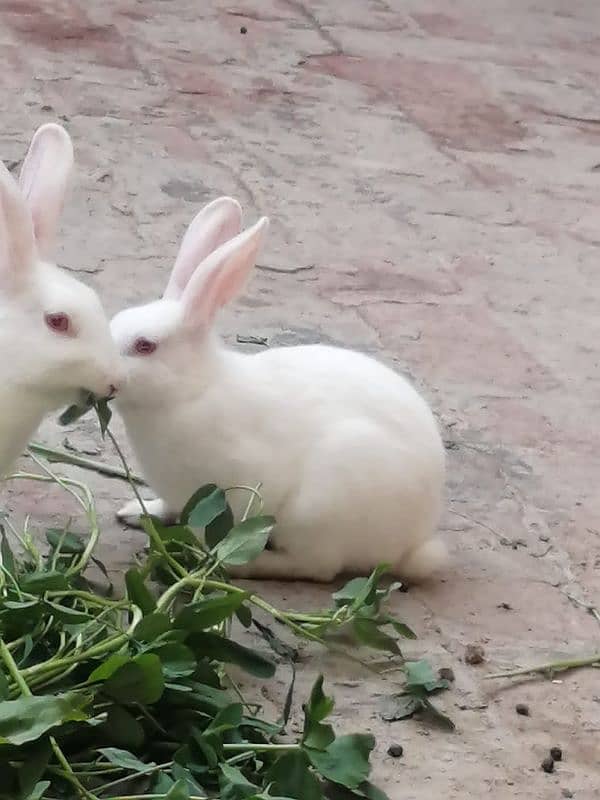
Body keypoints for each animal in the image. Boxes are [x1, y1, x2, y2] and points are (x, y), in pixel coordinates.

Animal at [111, 196, 446, 580]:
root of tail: (413, 543)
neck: (191, 390)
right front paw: (137, 511)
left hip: (320, 509)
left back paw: (246, 564)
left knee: (317, 567)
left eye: (145, 346)